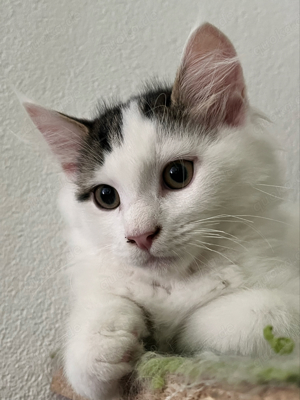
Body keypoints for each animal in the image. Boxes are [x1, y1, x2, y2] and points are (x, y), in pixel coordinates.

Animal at [22, 22, 298, 400]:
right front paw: (109, 333)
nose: (140, 235)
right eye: (105, 197)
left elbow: (253, 314)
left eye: (177, 174)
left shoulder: (287, 297)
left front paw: (171, 337)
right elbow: (90, 345)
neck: (177, 283)